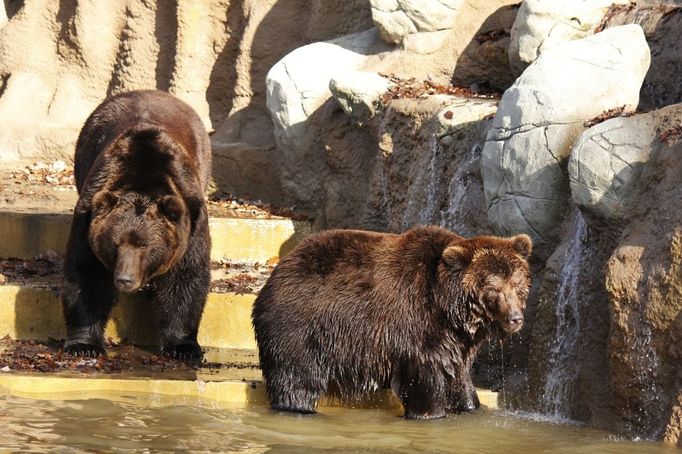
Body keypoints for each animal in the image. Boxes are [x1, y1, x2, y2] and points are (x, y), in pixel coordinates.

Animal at [63, 89, 212, 358]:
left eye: (145, 245)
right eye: (115, 244)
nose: (125, 279)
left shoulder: (191, 220)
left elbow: (186, 276)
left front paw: (183, 346)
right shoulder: (88, 213)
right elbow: (86, 274)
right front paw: (84, 345)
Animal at [251, 225, 532, 420]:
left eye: (517, 283)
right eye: (493, 288)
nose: (516, 318)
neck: (450, 308)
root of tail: (278, 270)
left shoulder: (456, 339)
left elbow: (459, 374)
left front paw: (471, 405)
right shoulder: (416, 322)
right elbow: (425, 376)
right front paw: (430, 412)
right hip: (302, 328)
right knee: (297, 379)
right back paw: (297, 407)